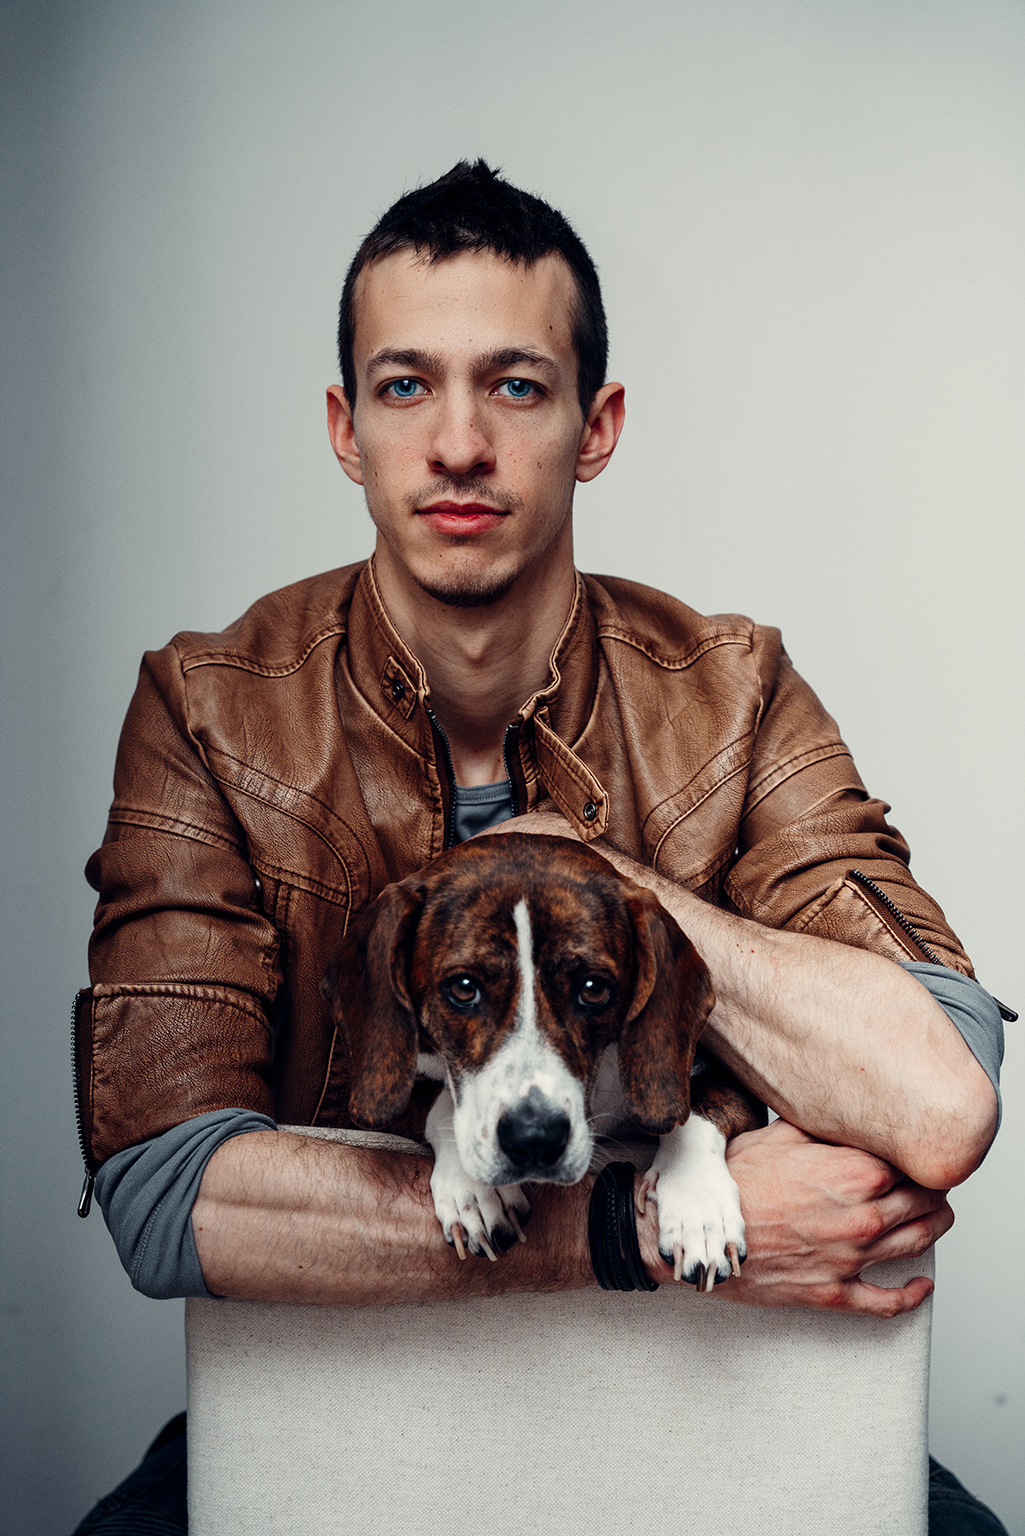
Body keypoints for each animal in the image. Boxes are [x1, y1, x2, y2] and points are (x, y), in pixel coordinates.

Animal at [321, 835, 762, 1290]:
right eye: (463, 988)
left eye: (593, 988)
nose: (534, 1138)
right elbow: (441, 1102)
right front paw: (474, 1185)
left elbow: (696, 1108)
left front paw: (699, 1205)